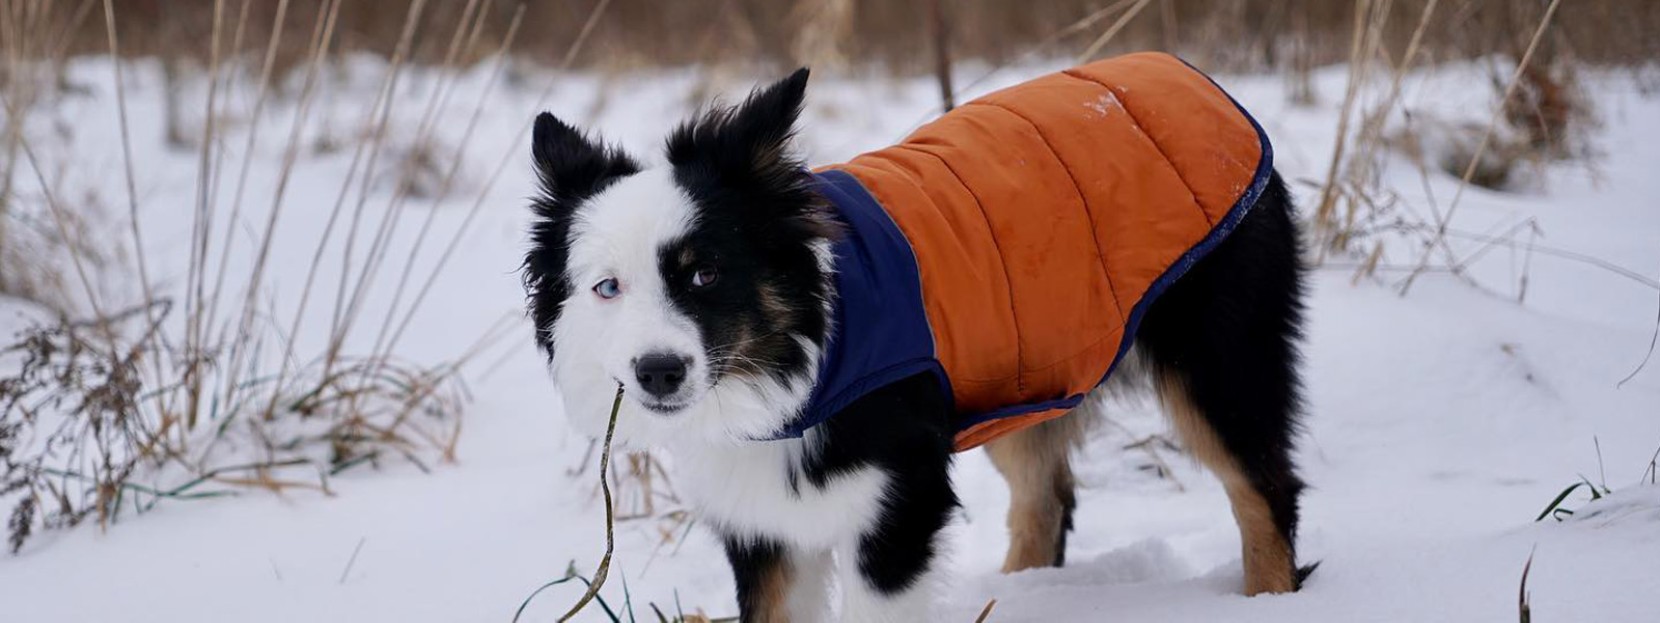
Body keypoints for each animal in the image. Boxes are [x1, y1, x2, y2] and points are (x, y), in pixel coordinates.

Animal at [517, 52, 1308, 621]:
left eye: (704, 273)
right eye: (608, 287)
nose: (658, 371)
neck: (803, 357)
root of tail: (1189, 74)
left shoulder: (896, 505)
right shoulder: (766, 527)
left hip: (1219, 359)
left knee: (1263, 487)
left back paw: (1269, 599)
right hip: (1025, 373)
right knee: (1044, 500)